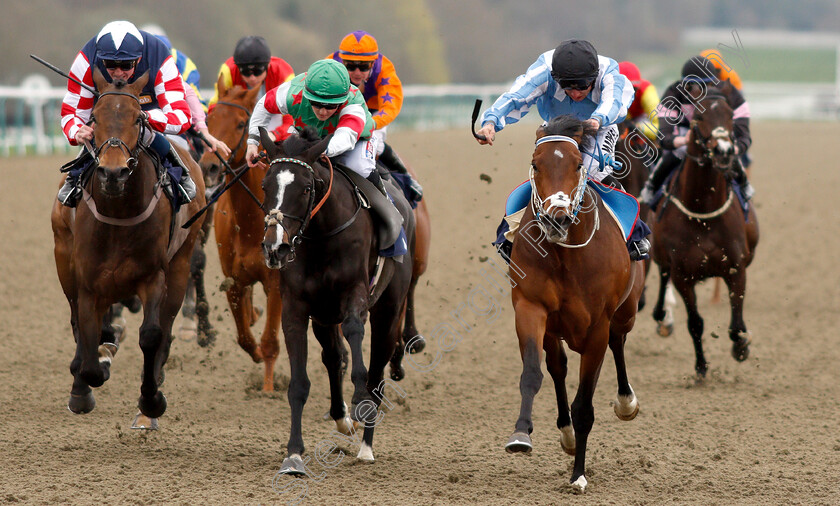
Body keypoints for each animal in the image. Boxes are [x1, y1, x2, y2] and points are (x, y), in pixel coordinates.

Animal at [50, 69, 207, 426]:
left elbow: (151, 334)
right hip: (63, 257)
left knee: (167, 323)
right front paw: (84, 384)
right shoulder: (87, 280)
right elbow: (88, 335)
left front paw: (151, 401)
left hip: (181, 264)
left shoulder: (153, 275)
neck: (118, 213)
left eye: (138, 118)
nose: (113, 171)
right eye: (94, 117)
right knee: (78, 321)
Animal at [200, 80, 286, 392]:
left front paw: (269, 388)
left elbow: (270, 341)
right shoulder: (233, 282)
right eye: (209, 120)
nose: (209, 166)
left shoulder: (276, 282)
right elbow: (245, 339)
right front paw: (257, 354)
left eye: (240, 123)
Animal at [256, 126, 414, 474]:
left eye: (305, 189)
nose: (275, 248)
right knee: (332, 356)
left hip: (389, 313)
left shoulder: (355, 295)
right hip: (324, 316)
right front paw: (293, 455)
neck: (321, 237)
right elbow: (299, 384)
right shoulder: (297, 309)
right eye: (265, 186)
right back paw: (341, 418)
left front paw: (358, 401)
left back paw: (366, 445)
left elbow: (355, 334)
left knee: (377, 373)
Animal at [502, 115, 648, 494]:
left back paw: (626, 402)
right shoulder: (530, 307)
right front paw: (521, 434)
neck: (566, 255)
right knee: (557, 367)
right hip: (556, 329)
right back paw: (566, 434)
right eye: (536, 164)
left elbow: (584, 406)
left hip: (625, 313)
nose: (557, 218)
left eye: (578, 164)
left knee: (618, 342)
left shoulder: (597, 326)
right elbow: (532, 374)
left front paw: (578, 475)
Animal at [648, 91, 760, 378]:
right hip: (661, 254)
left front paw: (741, 346)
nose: (724, 151)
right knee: (662, 274)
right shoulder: (683, 276)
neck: (703, 210)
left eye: (730, 114)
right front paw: (701, 367)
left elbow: (736, 324)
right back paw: (662, 317)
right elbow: (695, 323)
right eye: (698, 116)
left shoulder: (736, 268)